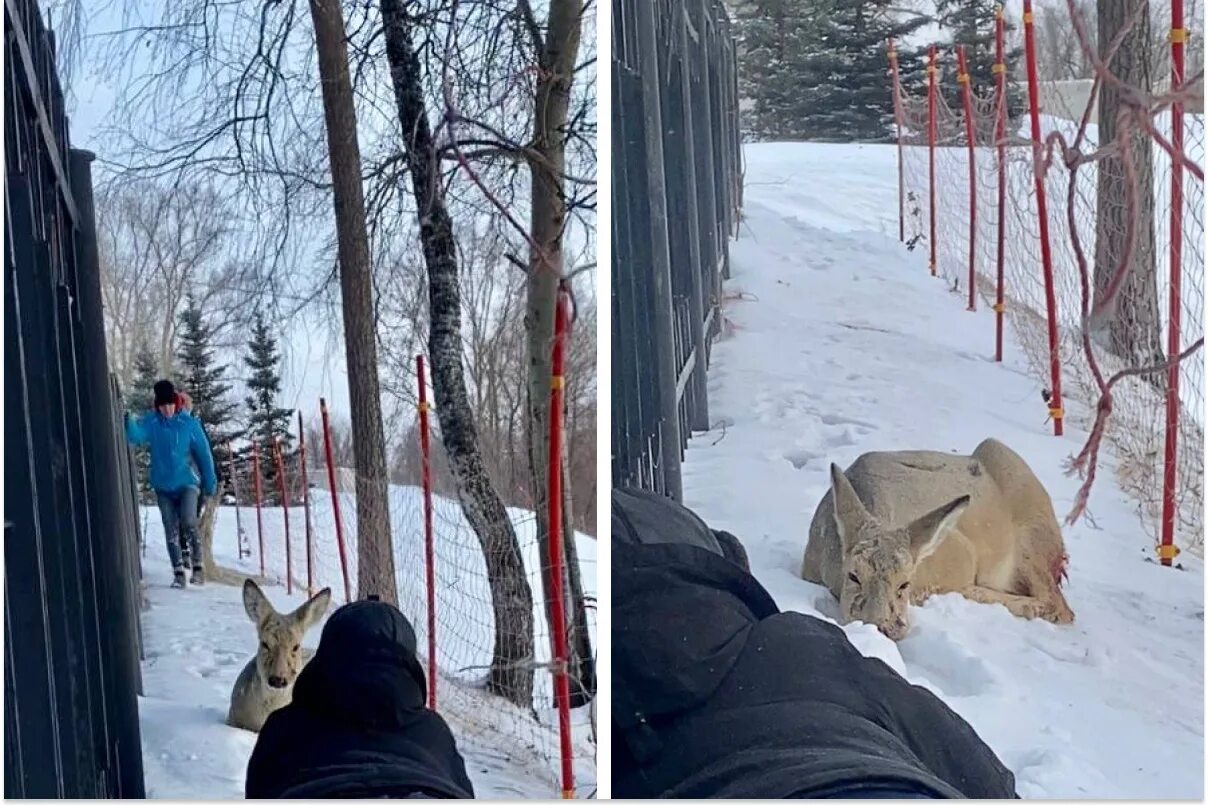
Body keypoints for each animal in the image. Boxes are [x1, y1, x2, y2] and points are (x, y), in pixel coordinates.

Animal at [802, 435, 1077, 638]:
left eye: (904, 584)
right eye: (853, 576)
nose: (881, 626)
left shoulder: (961, 555)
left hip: (1031, 536)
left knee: (1059, 605)